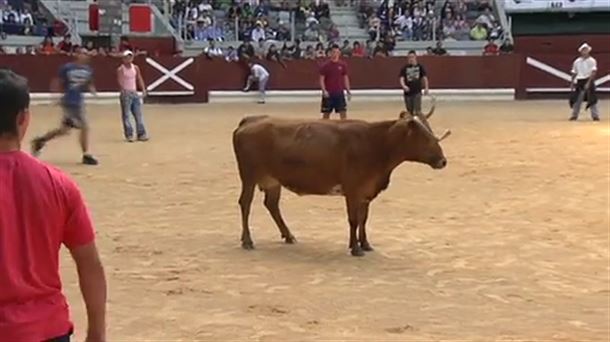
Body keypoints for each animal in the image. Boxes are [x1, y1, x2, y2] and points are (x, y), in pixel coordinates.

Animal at [230, 108, 448, 255]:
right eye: (425, 137)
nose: (443, 161)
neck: (376, 143)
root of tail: (250, 120)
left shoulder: (366, 192)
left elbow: (363, 219)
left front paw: (365, 244)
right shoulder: (352, 190)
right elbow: (353, 219)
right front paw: (355, 248)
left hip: (273, 181)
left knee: (272, 205)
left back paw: (289, 236)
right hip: (248, 176)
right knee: (245, 203)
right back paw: (248, 241)